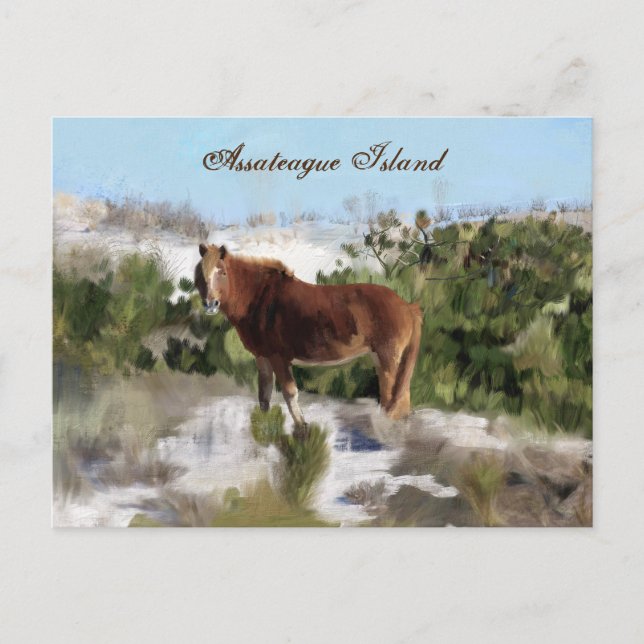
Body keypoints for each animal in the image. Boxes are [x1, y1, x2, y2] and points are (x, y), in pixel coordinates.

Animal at [195, 243, 422, 427]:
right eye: (199, 273)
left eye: (222, 272)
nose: (210, 304)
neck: (260, 298)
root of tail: (407, 306)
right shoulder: (262, 357)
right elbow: (264, 396)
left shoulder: (279, 357)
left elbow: (289, 393)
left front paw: (302, 428)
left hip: (388, 357)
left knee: (396, 397)